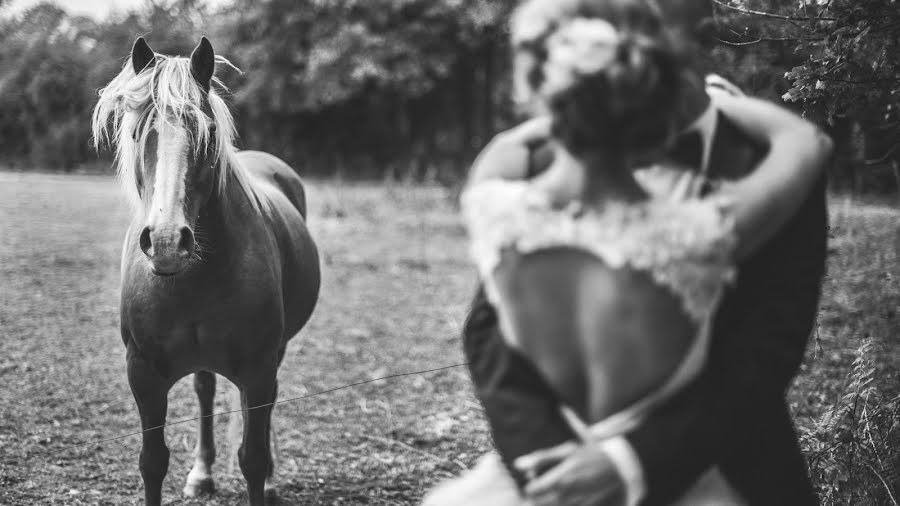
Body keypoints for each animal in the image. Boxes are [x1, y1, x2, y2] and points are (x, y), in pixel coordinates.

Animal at [93, 36, 318, 506]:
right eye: (139, 131)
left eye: (208, 132)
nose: (165, 241)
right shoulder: (143, 374)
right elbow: (152, 462)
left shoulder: (258, 368)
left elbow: (252, 457)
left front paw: (263, 477)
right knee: (204, 391)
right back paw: (202, 472)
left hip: (273, 356)